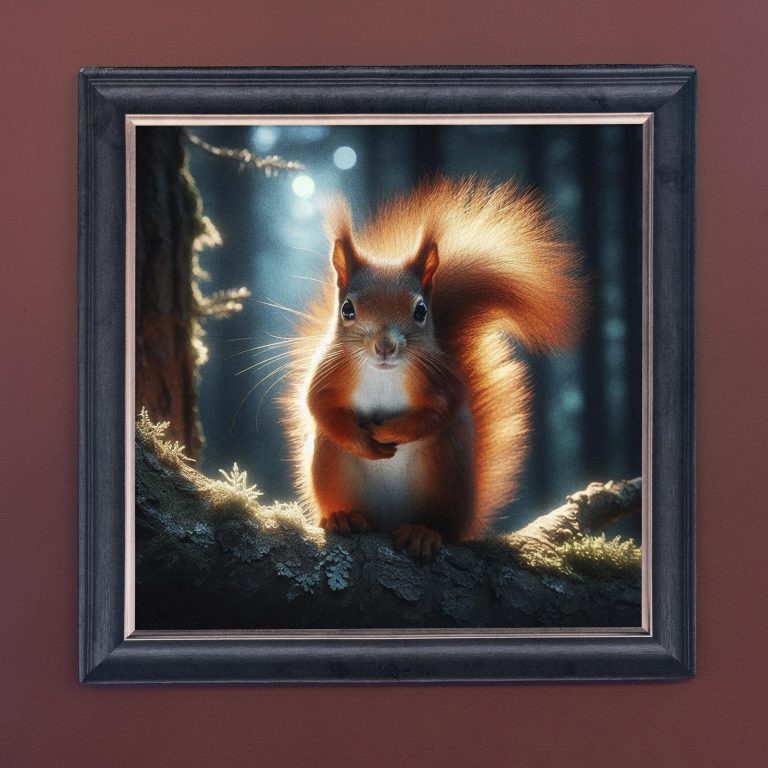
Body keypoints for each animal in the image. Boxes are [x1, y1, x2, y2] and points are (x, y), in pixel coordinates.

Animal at [283, 177, 584, 559]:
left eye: (421, 310)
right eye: (347, 309)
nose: (385, 346)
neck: (383, 373)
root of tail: (390, 520)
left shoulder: (442, 378)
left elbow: (445, 408)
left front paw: (390, 431)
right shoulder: (329, 369)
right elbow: (317, 403)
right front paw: (365, 442)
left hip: (445, 470)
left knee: (443, 522)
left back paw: (424, 531)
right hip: (331, 464)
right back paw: (343, 517)